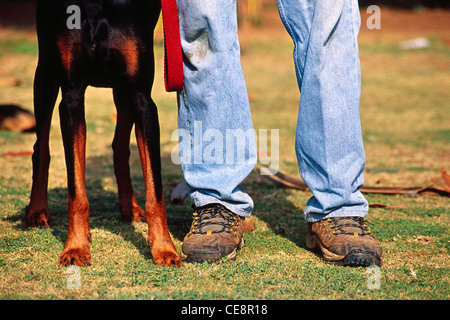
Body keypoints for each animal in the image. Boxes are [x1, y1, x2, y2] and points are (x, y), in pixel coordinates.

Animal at [25, 0, 181, 268]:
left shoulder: (141, 97)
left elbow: (155, 190)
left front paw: (164, 247)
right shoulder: (72, 95)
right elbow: (76, 188)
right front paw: (76, 246)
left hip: (123, 90)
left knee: (120, 148)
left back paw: (130, 207)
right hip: (45, 70)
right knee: (41, 148)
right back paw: (37, 212)